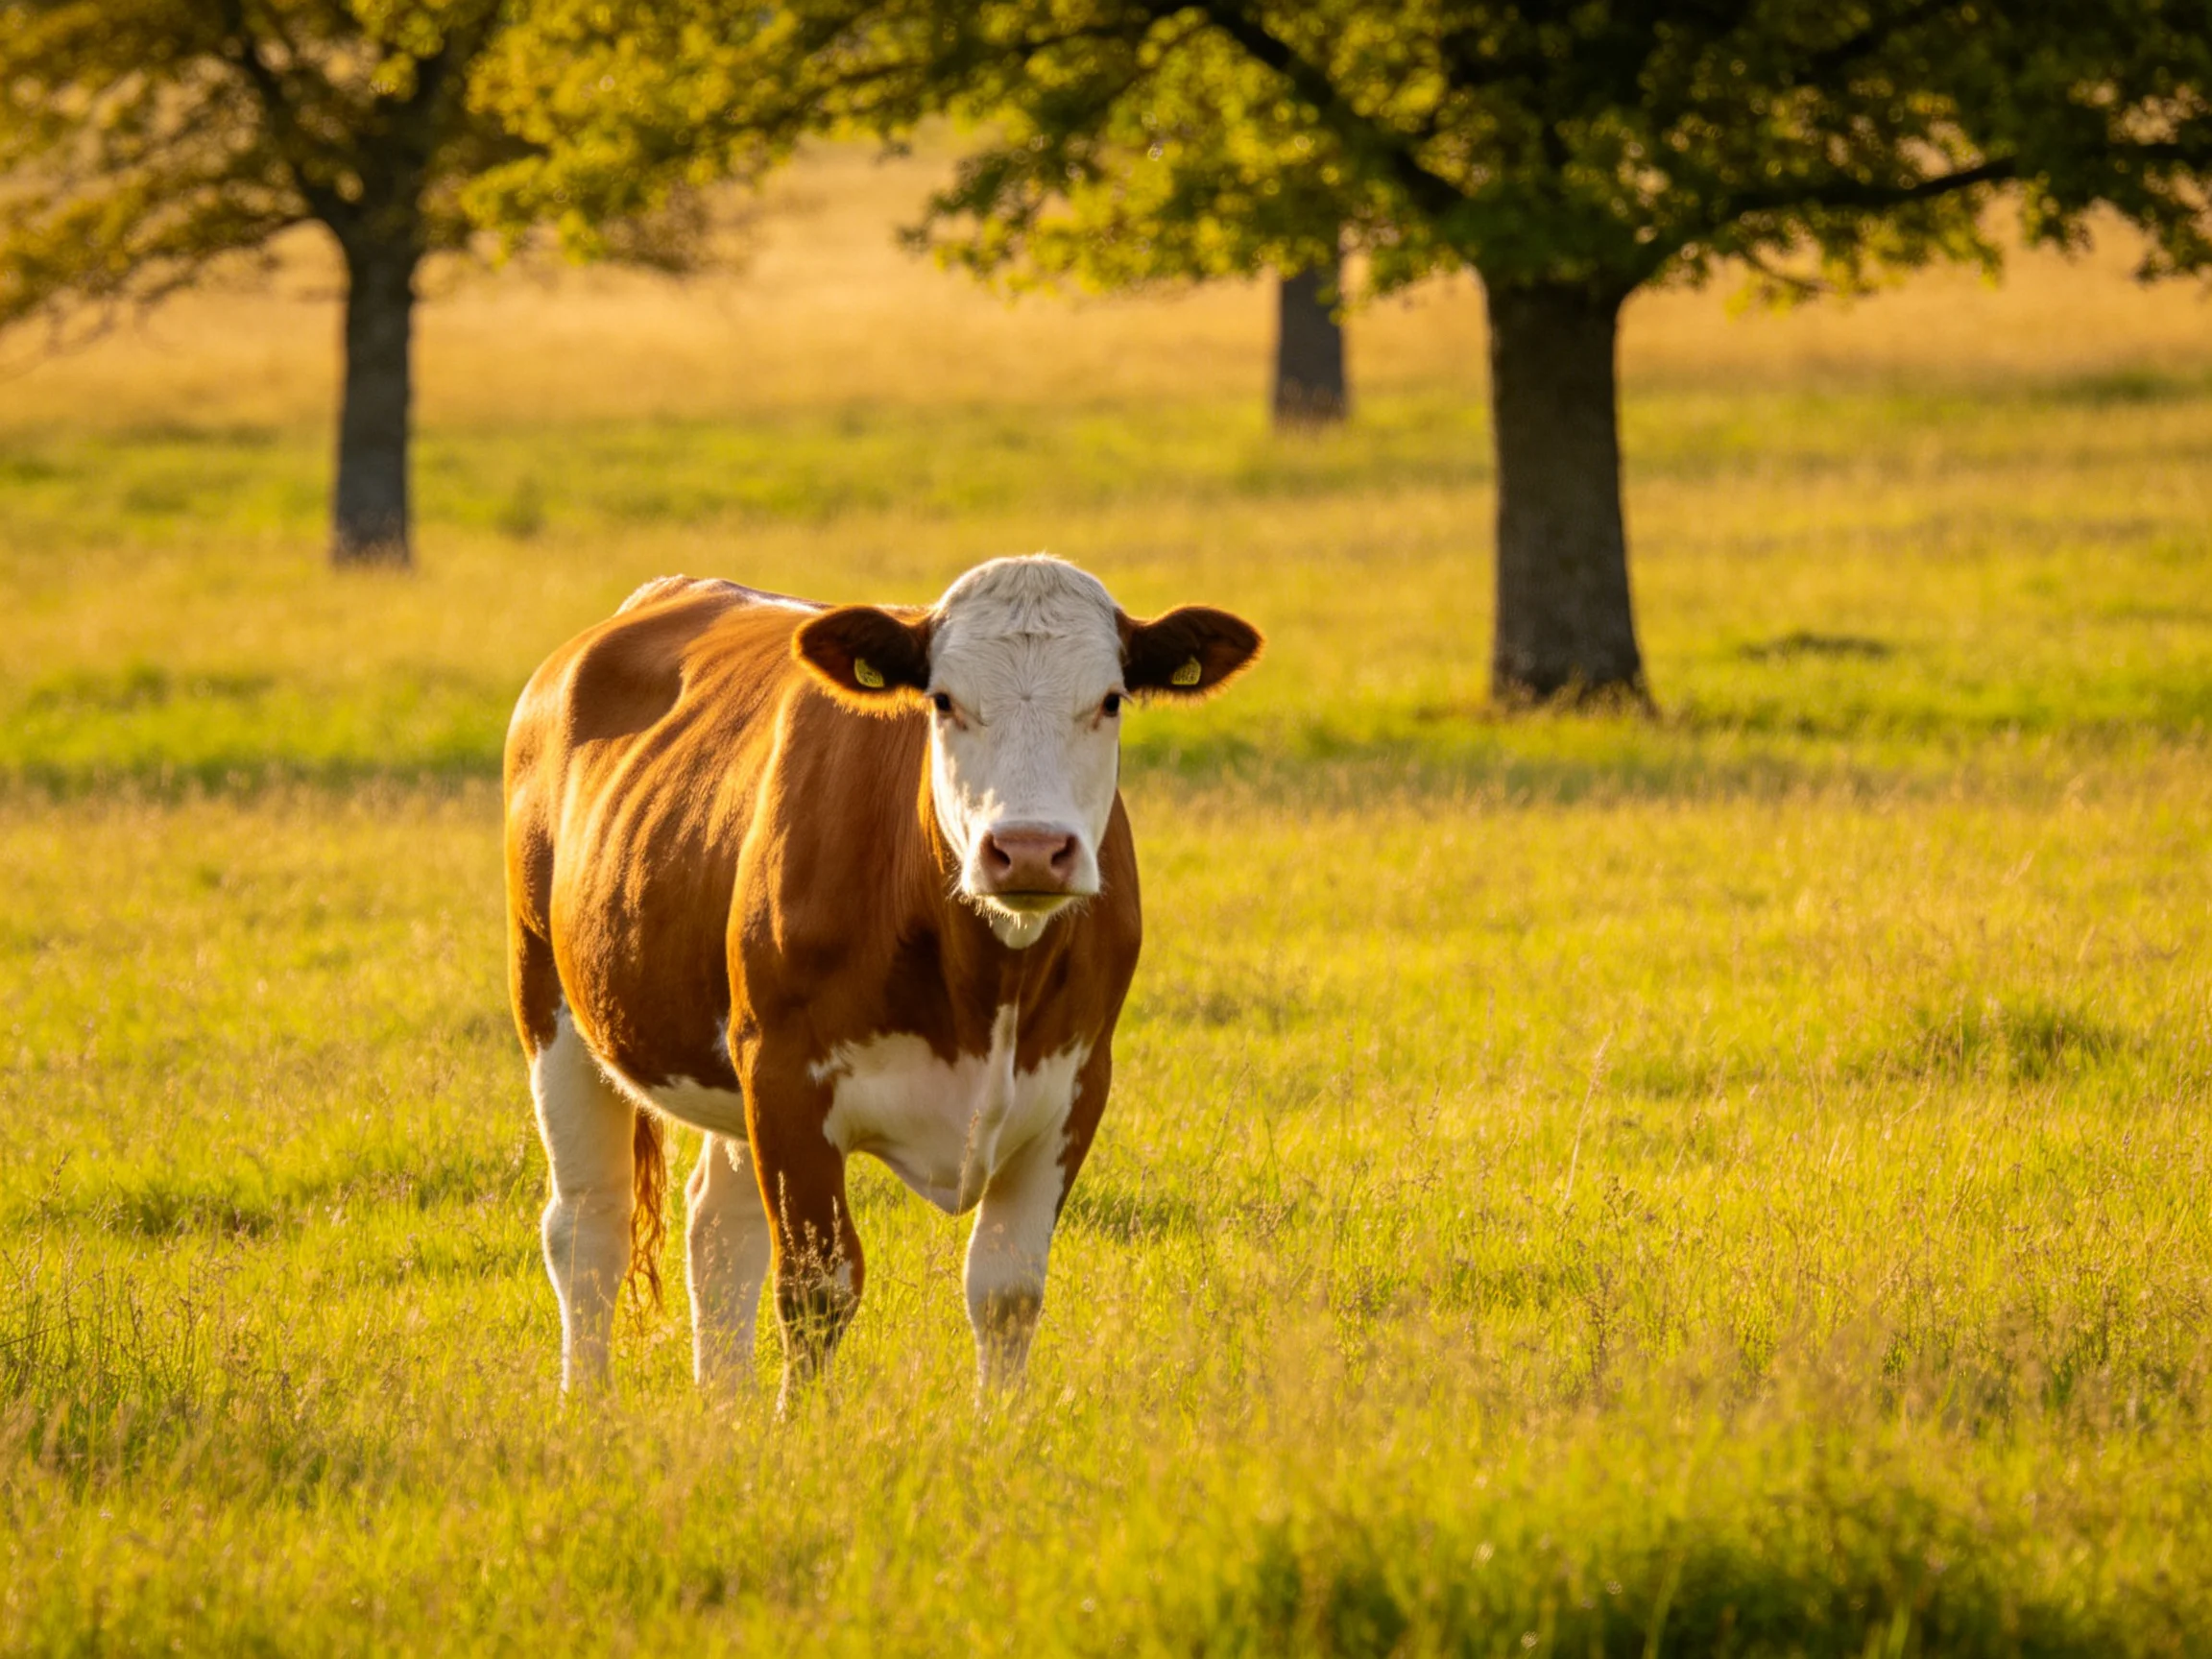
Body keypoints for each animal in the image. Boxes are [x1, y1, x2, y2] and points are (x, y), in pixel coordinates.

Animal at [503, 555, 1261, 1403]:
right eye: (943, 700)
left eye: (1110, 699)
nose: (1029, 850)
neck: (987, 984)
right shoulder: (786, 1077)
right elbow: (817, 1285)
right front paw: (804, 1428)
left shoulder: (1075, 1084)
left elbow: (1005, 1290)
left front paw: (1000, 1427)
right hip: (550, 1000)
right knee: (588, 1225)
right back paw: (589, 1405)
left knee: (717, 1231)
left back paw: (723, 1409)